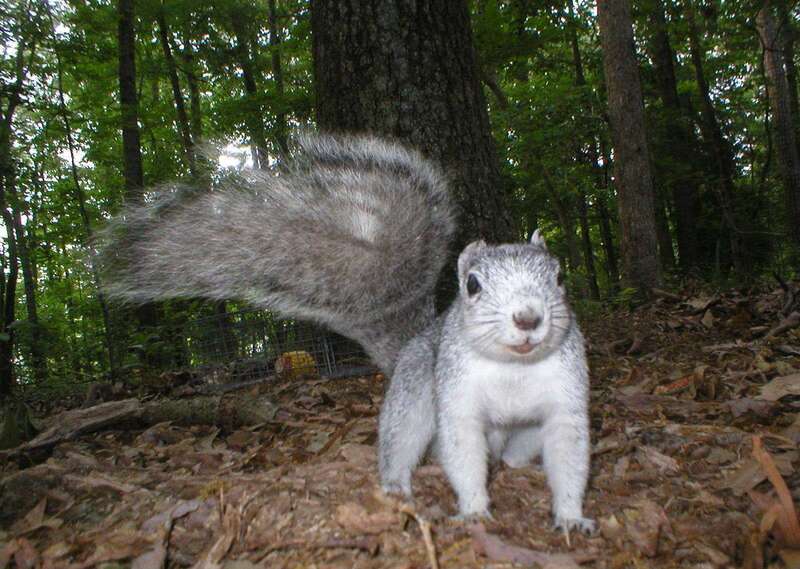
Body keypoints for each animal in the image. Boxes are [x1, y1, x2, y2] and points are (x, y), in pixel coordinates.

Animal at [97, 133, 593, 532]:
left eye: (559, 276)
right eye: (472, 285)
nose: (528, 318)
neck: (515, 367)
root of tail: (416, 340)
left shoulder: (565, 402)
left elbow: (569, 455)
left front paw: (571, 516)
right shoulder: (459, 402)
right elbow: (463, 452)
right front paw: (473, 510)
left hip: (525, 432)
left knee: (515, 454)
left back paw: (517, 468)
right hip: (415, 396)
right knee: (405, 440)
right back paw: (396, 486)